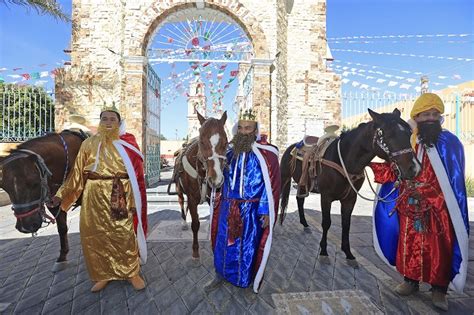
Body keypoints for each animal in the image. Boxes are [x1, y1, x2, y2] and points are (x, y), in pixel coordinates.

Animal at [0, 131, 86, 270]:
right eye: (4, 187)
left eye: (35, 183)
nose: (26, 227)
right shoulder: (54, 202)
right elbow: (62, 227)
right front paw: (62, 257)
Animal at [168, 111, 229, 260]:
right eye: (201, 141)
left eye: (226, 142)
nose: (216, 179)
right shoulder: (191, 198)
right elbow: (195, 224)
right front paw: (195, 250)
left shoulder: (211, 198)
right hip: (179, 189)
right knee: (181, 202)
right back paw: (184, 222)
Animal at [280, 109, 420, 264]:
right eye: (389, 134)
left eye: (409, 133)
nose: (414, 168)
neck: (345, 161)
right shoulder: (326, 197)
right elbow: (326, 222)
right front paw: (323, 251)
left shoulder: (350, 199)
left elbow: (346, 224)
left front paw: (348, 253)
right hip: (284, 178)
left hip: (303, 183)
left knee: (300, 200)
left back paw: (304, 224)